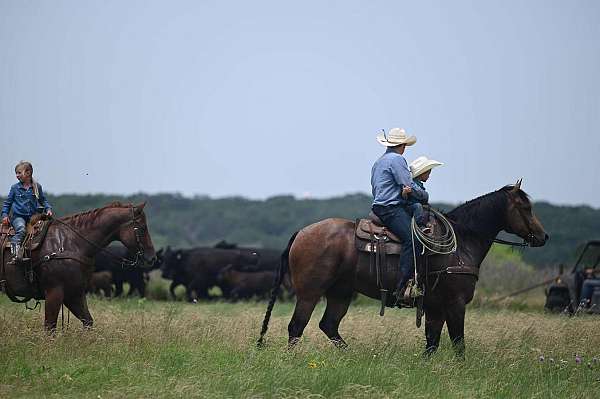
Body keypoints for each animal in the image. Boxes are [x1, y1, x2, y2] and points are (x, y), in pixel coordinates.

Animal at [0, 203, 155, 332]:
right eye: (142, 228)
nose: (152, 257)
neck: (70, 244)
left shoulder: (74, 294)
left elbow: (88, 321)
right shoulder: (54, 293)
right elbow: (50, 327)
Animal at [258, 183, 548, 358]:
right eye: (525, 207)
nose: (543, 237)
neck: (461, 242)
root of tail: (301, 232)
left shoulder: (435, 306)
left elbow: (432, 342)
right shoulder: (455, 303)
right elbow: (458, 342)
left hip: (340, 293)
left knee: (328, 325)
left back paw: (353, 357)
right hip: (310, 293)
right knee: (297, 327)